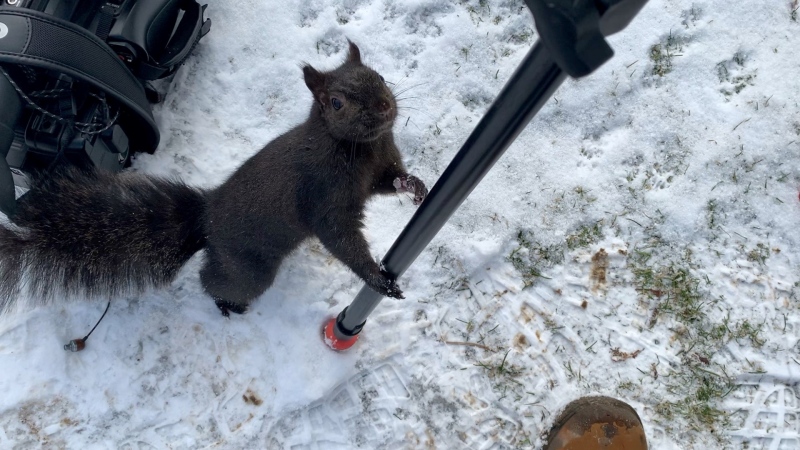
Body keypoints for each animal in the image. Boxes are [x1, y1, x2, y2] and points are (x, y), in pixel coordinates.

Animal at [0, 41, 428, 316]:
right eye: (337, 103)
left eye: (380, 76)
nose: (385, 106)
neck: (363, 148)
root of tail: (205, 219)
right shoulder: (324, 196)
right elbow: (341, 239)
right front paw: (378, 280)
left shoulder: (379, 169)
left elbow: (390, 182)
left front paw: (416, 187)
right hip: (249, 268)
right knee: (215, 280)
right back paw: (225, 304)